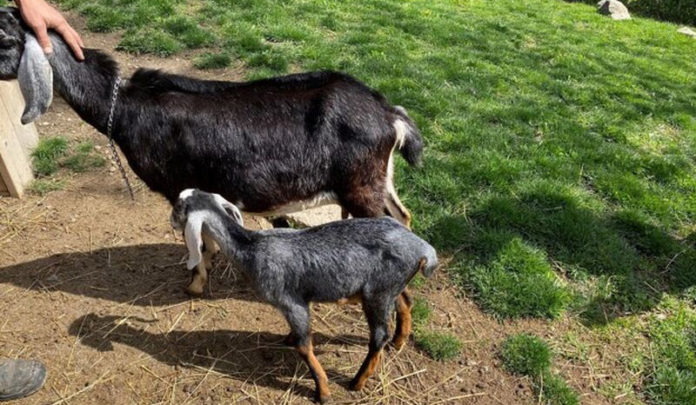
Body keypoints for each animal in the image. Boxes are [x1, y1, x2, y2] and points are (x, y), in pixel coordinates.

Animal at [0, 7, 424, 294]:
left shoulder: (177, 187)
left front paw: (195, 282)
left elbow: (195, 240)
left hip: (360, 184)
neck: (123, 107)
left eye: (5, 38)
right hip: (379, 179)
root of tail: (389, 115)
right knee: (402, 216)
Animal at [171, 189, 438, 400]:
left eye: (178, 207)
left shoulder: (292, 302)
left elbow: (303, 345)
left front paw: (323, 392)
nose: (171, 221)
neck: (251, 247)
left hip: (378, 293)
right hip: (391, 286)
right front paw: (288, 338)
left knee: (379, 336)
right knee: (405, 302)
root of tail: (423, 248)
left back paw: (357, 382)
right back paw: (399, 341)